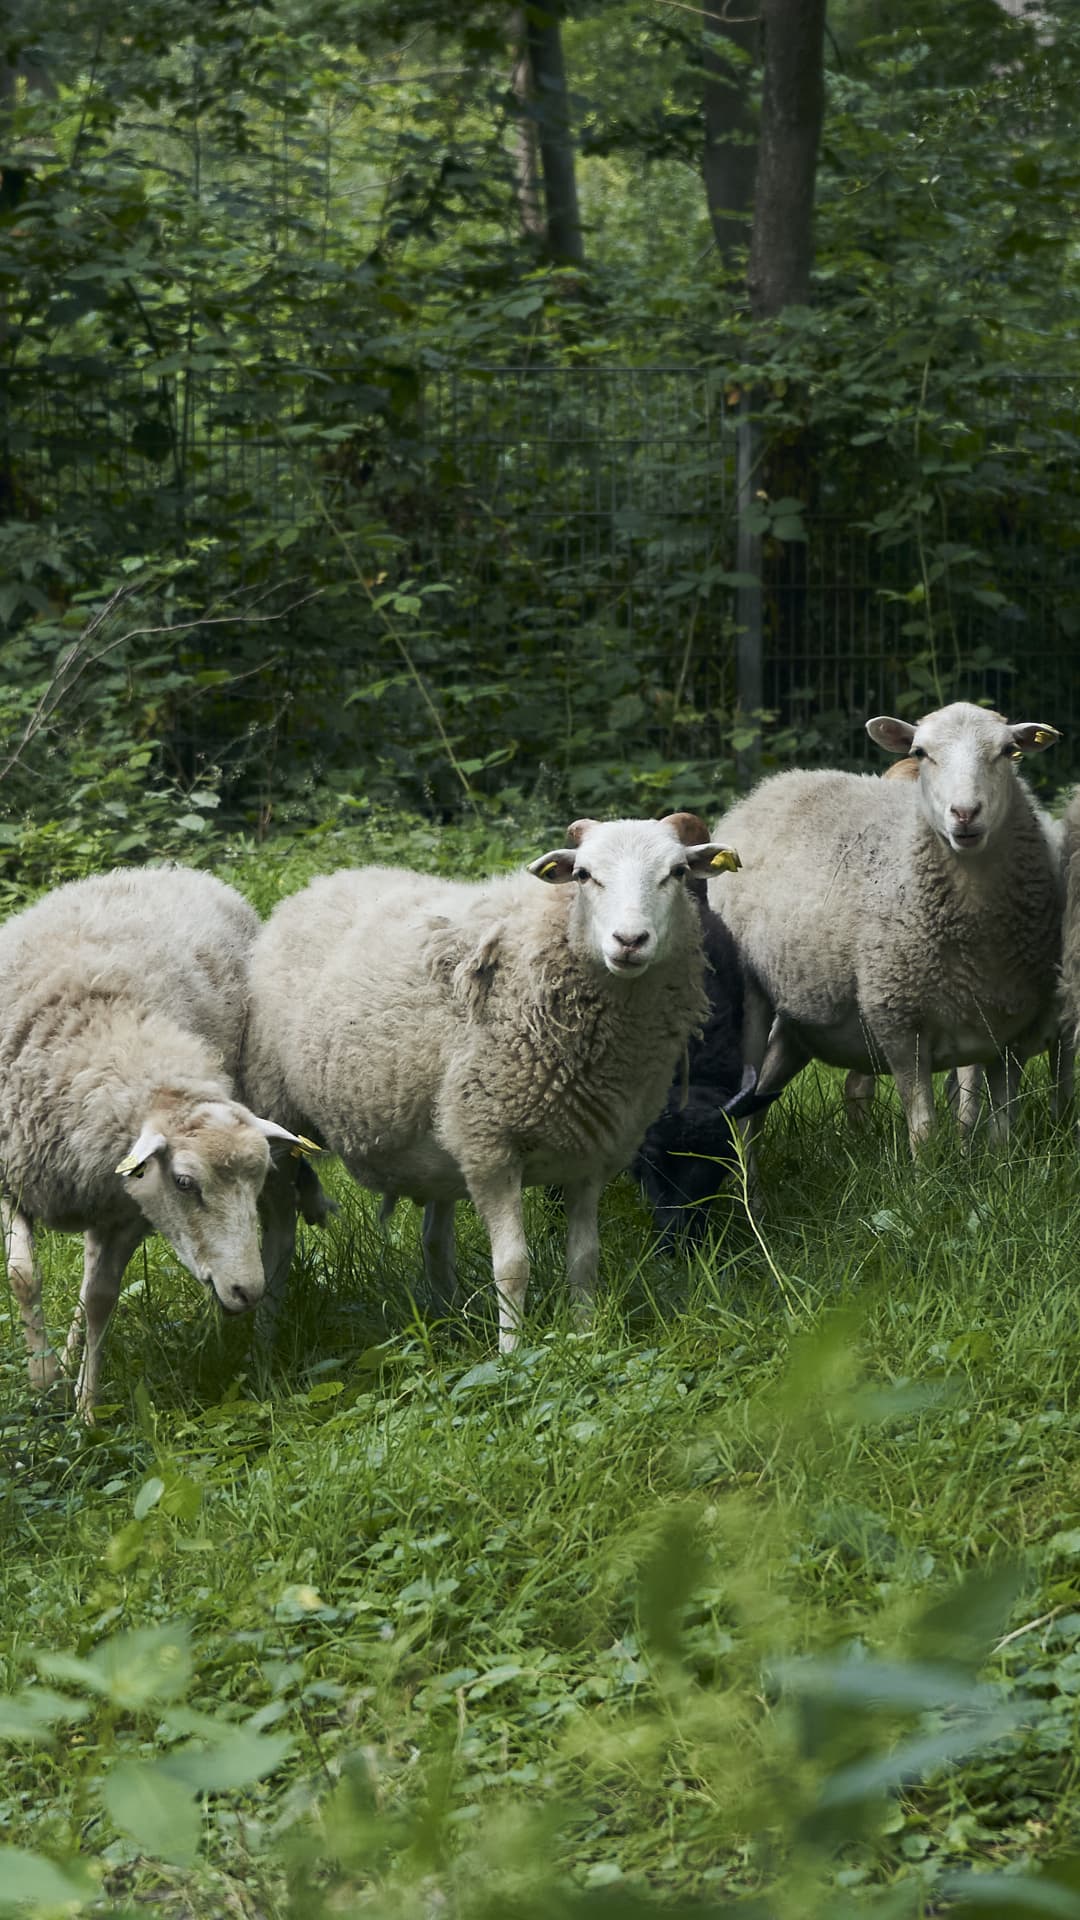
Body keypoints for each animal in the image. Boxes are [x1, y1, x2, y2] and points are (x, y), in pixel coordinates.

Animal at [0, 867, 310, 1416]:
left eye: (254, 1183)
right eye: (185, 1182)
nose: (245, 1290)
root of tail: (170, 870)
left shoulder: (130, 1211)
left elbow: (102, 1298)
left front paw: (85, 1413)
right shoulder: (12, 1178)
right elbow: (22, 1276)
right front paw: (43, 1379)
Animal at [711, 702, 1062, 1156]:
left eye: (1007, 751)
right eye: (920, 752)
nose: (965, 814)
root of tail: (770, 787)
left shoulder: (1015, 1032)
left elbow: (1002, 1129)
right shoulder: (897, 1021)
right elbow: (925, 1132)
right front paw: (929, 1173)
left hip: (801, 1016)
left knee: (758, 1101)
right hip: (750, 997)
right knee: (743, 1108)